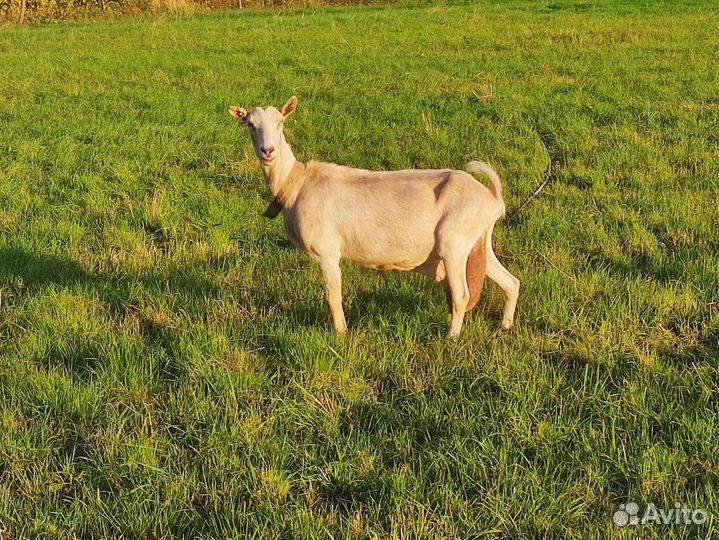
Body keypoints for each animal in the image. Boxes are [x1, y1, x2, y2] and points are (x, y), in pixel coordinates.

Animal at [228, 96, 519, 338]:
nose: (268, 151)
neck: (297, 183)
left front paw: (341, 334)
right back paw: (505, 326)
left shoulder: (326, 251)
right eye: (250, 124)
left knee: (461, 295)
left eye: (280, 122)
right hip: (478, 241)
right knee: (511, 282)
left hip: (454, 243)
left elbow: (333, 296)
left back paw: (452, 338)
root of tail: (492, 197)